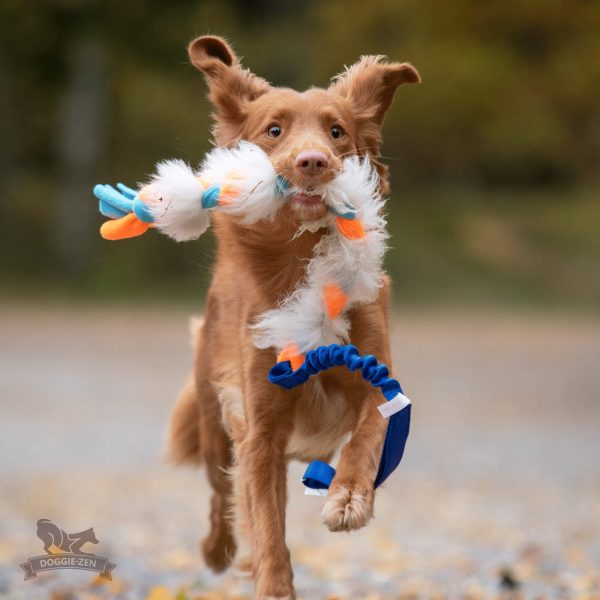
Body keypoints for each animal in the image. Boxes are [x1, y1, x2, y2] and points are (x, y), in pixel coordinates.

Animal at [166, 35, 420, 596]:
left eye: (337, 131)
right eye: (274, 130)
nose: (313, 162)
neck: (300, 262)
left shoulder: (377, 379)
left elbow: (368, 435)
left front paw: (349, 496)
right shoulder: (259, 431)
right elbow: (265, 523)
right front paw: (273, 584)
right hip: (215, 427)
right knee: (220, 494)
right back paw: (217, 549)